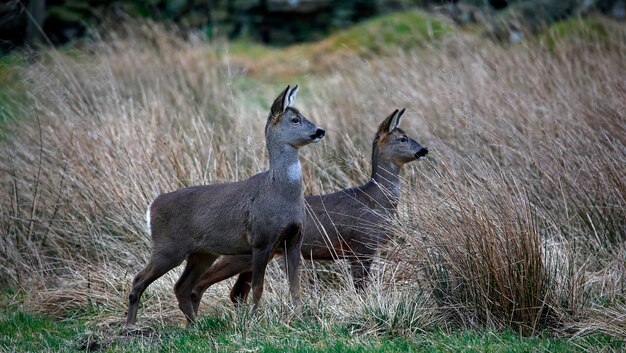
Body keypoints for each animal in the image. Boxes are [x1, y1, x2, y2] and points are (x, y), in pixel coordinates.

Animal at [124, 85, 324, 324]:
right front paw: (254, 320)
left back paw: (194, 325)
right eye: (295, 119)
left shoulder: (294, 239)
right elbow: (257, 287)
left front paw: (299, 318)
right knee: (139, 279)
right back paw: (130, 326)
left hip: (202, 253)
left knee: (181, 287)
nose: (320, 131)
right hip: (168, 247)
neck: (279, 194)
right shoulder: (260, 240)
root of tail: (152, 206)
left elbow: (295, 287)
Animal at [183, 108, 426, 314]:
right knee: (205, 283)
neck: (376, 201)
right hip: (242, 252)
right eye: (402, 139)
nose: (423, 150)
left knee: (235, 292)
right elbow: (360, 289)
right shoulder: (362, 244)